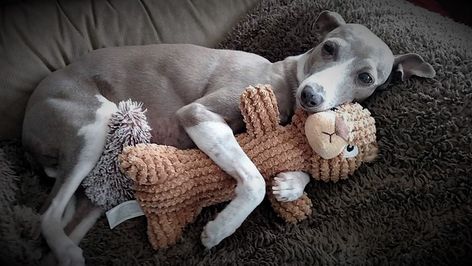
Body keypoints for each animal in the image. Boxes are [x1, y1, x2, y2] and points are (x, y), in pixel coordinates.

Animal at [22, 10, 436, 266]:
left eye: (366, 77)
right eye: (329, 48)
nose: (311, 96)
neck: (287, 80)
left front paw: (291, 183)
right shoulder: (198, 113)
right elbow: (253, 180)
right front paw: (220, 229)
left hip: (100, 189)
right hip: (93, 124)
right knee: (46, 215)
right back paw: (68, 250)